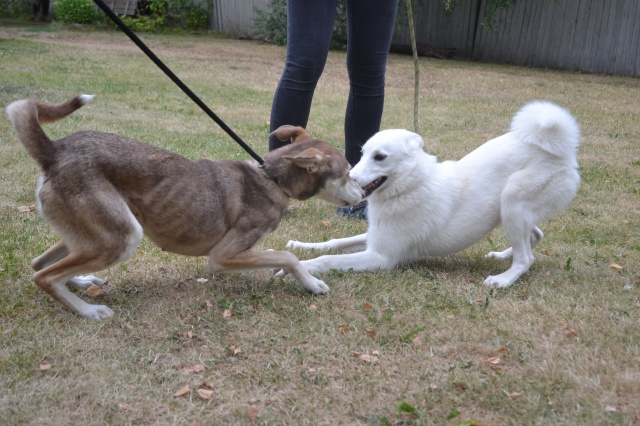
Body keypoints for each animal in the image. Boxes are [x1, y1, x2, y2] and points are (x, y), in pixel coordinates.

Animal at [6, 95, 363, 319]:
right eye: (346, 173)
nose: (363, 190)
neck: (271, 178)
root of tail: (54, 151)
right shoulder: (224, 256)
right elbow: (288, 257)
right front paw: (312, 284)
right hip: (122, 236)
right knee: (45, 277)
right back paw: (88, 310)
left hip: (95, 232)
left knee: (42, 264)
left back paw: (79, 284)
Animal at [283, 101, 580, 287]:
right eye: (362, 154)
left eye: (380, 157)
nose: (351, 179)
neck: (410, 185)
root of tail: (559, 149)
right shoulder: (374, 237)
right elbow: (334, 243)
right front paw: (301, 245)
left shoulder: (381, 257)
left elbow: (328, 259)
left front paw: (295, 268)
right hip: (516, 212)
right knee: (535, 235)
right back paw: (501, 256)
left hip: (512, 203)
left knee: (526, 258)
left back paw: (503, 279)